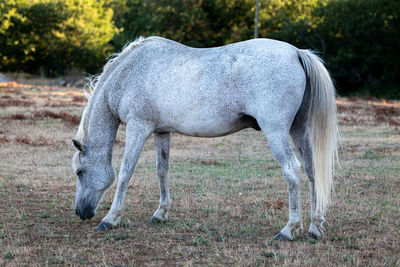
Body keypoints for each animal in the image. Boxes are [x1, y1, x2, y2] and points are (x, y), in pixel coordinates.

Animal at [71, 36, 338, 241]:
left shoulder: (138, 128)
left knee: (292, 171)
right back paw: (315, 227)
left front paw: (111, 218)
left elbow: (126, 173)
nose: (80, 212)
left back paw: (289, 230)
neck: (130, 72)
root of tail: (296, 52)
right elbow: (162, 170)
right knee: (312, 171)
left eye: (79, 172)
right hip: (299, 130)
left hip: (276, 132)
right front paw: (161, 213)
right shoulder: (162, 132)